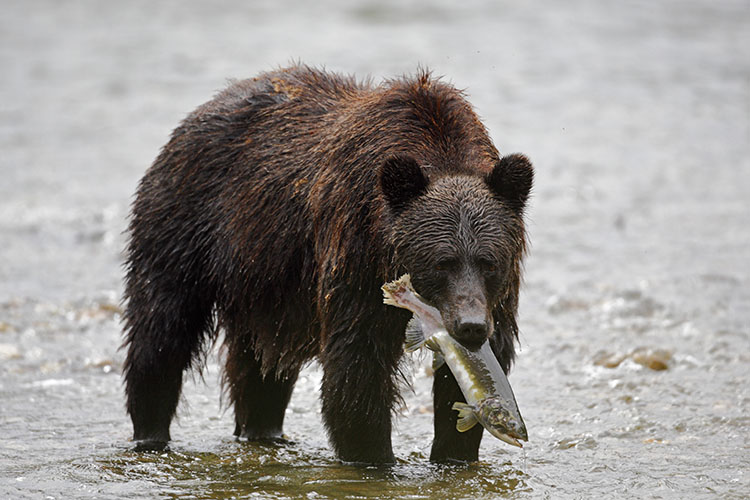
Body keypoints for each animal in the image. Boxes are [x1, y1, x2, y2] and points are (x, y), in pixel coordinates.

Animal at [122, 63, 536, 464]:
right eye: (441, 262)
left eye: (489, 262)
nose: (471, 326)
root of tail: (204, 109)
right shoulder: (356, 251)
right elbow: (356, 366)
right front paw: (373, 456)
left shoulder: (498, 295)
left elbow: (463, 380)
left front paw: (454, 454)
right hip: (186, 223)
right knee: (161, 331)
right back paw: (151, 431)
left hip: (265, 280)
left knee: (259, 365)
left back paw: (263, 428)